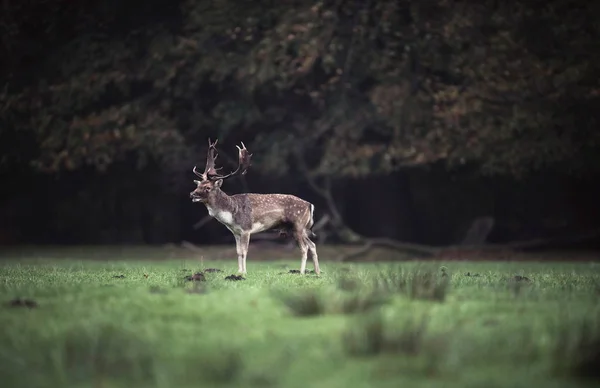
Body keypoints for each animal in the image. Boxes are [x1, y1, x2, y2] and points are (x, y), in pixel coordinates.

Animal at [189, 138, 322, 274]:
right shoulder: (235, 232)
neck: (231, 213)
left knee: (304, 248)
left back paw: (301, 273)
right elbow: (238, 252)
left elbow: (244, 251)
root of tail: (310, 204)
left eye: (207, 187)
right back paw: (317, 272)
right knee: (312, 245)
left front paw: (244, 272)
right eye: (198, 185)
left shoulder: (246, 228)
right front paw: (239, 272)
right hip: (301, 228)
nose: (192, 194)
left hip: (298, 225)